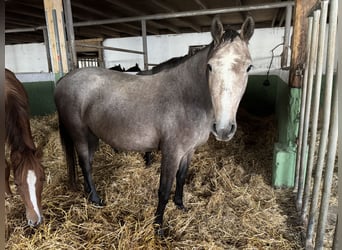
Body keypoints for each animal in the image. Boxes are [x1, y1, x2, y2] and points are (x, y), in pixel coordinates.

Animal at [54, 16, 254, 235]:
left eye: (248, 67)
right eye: (210, 66)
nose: (224, 129)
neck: (186, 97)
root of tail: (64, 79)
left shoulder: (189, 151)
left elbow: (181, 178)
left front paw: (180, 205)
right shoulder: (172, 152)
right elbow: (164, 189)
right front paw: (158, 226)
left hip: (92, 136)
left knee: (87, 163)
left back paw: (89, 193)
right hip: (80, 134)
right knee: (85, 165)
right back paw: (96, 199)